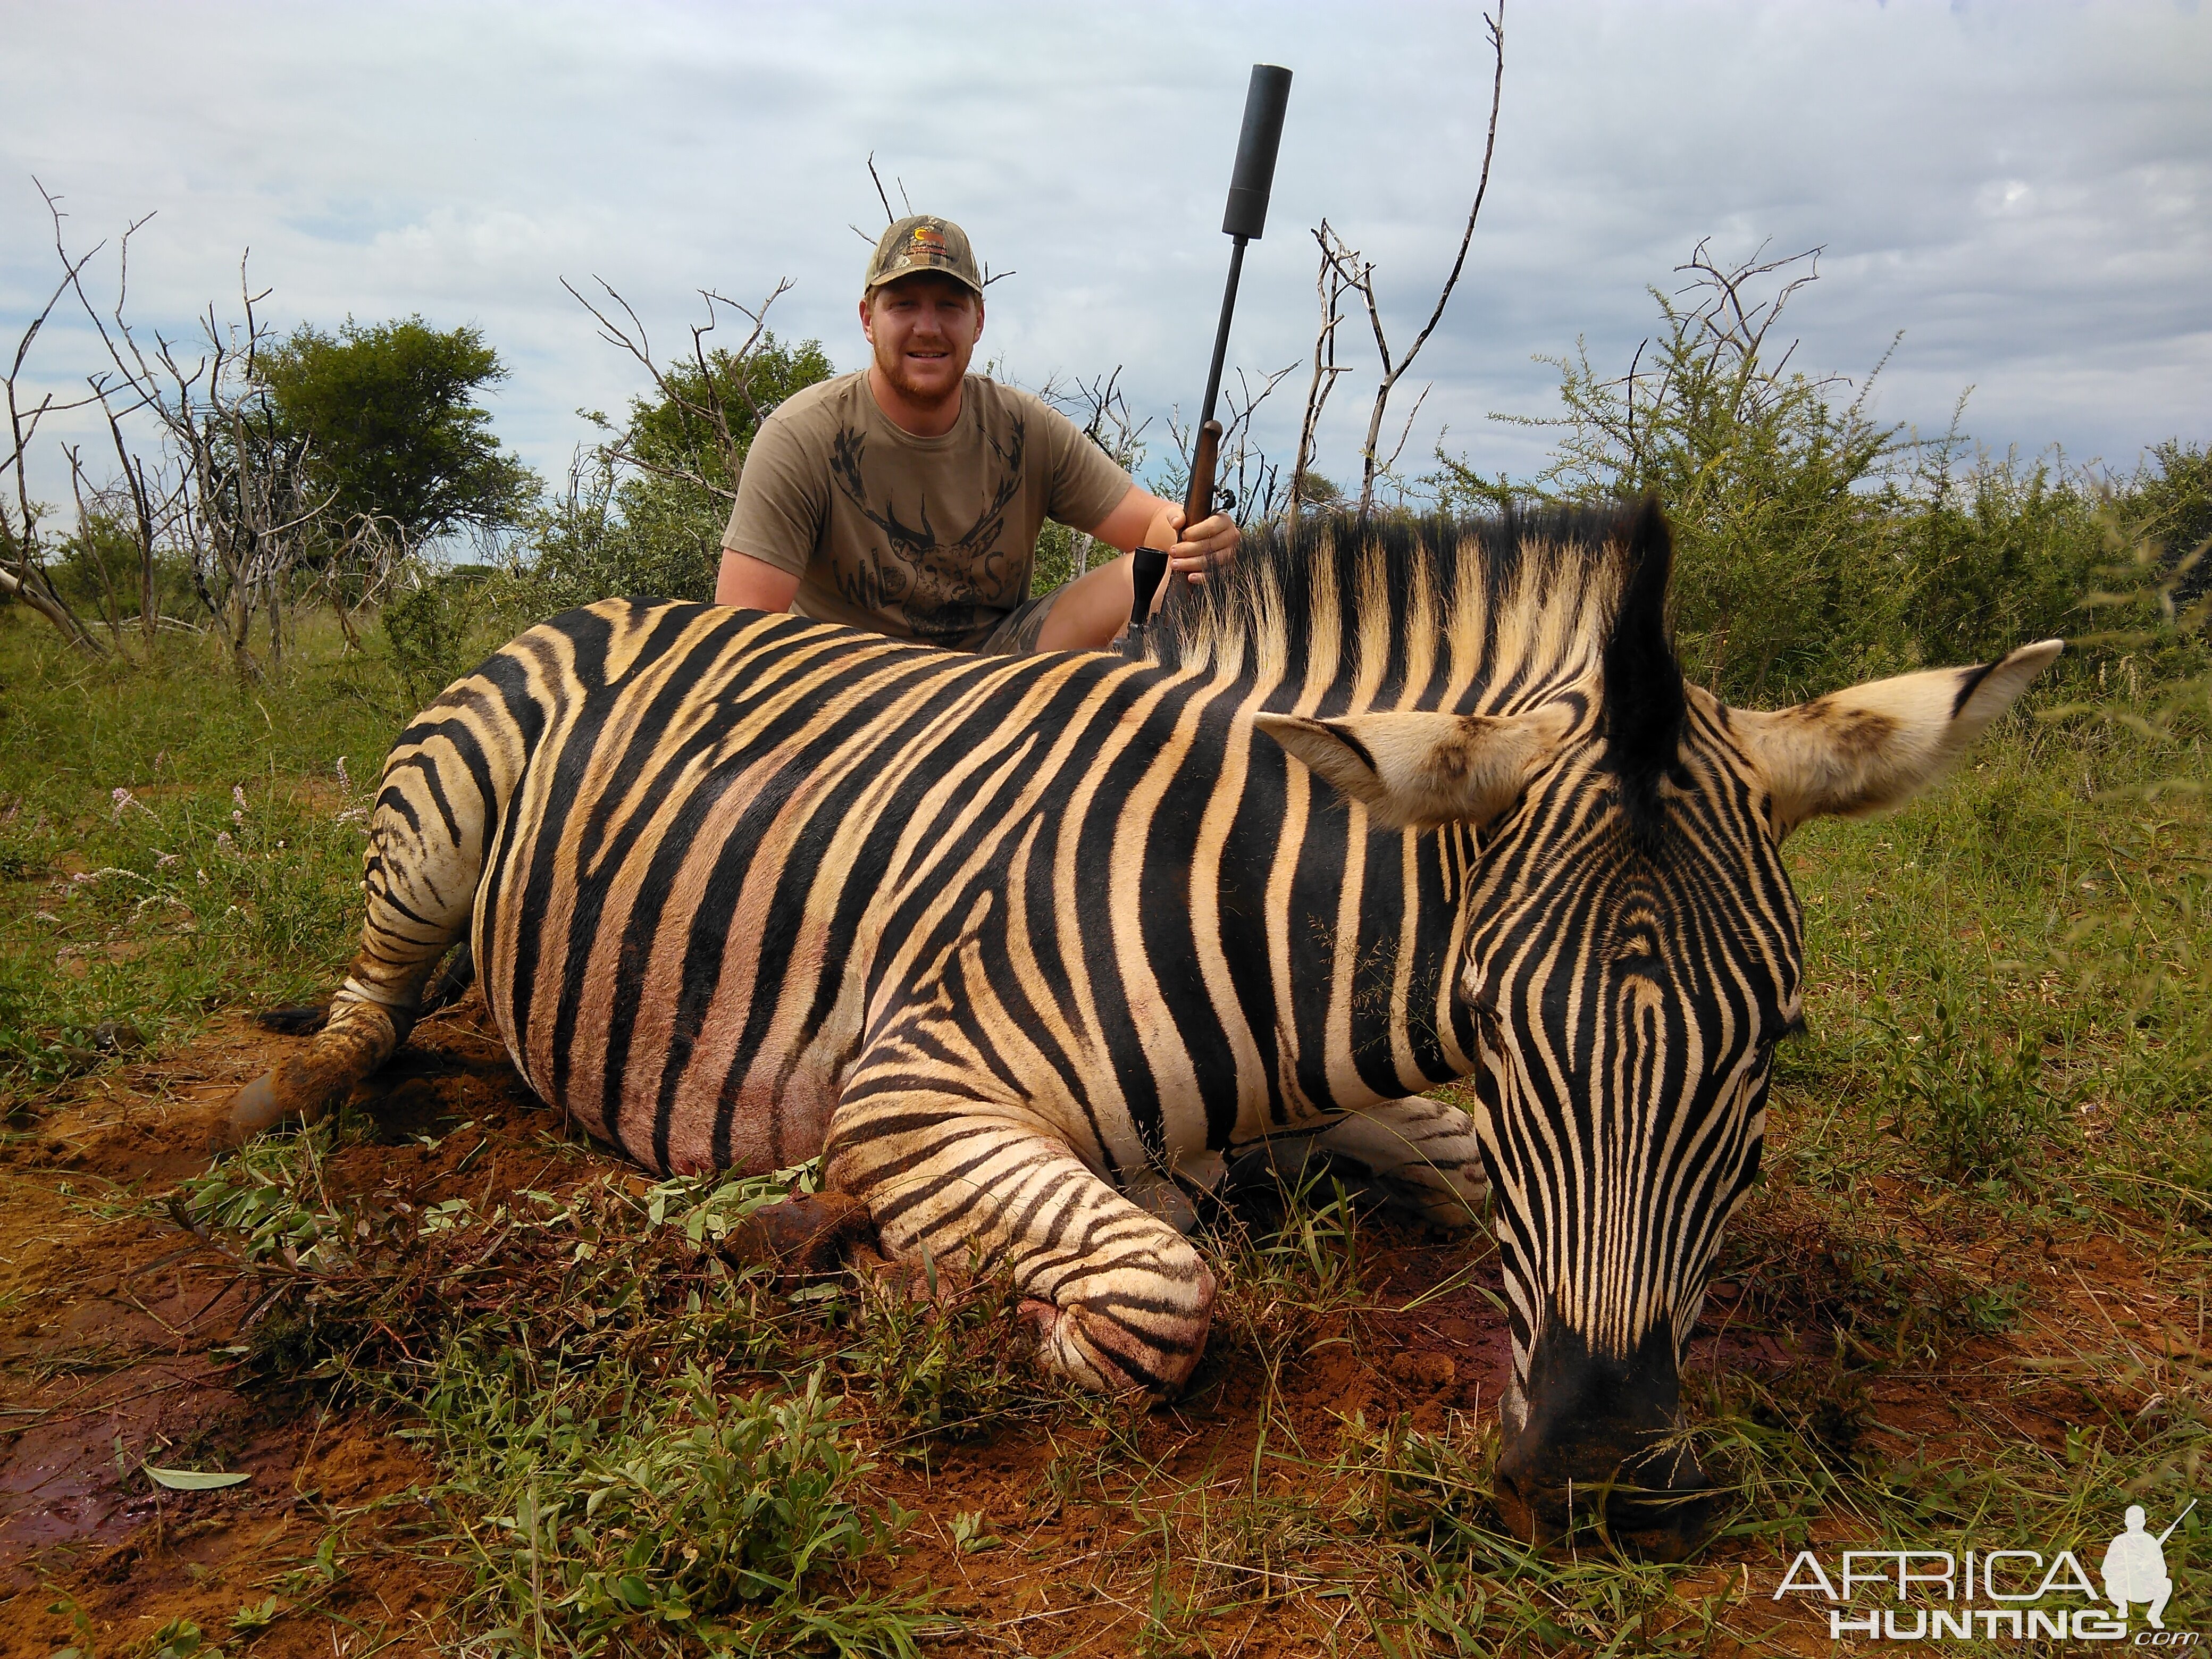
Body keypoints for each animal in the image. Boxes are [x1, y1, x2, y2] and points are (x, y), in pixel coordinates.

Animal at [229, 504, 2052, 1557]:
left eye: (1780, 1038)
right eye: (1483, 1014)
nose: (1599, 1470)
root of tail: (623, 599)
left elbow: (1446, 1173)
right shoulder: (915, 1078)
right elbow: (1157, 1292)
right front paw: (882, 1267)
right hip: (437, 832)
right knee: (371, 1002)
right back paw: (296, 1082)